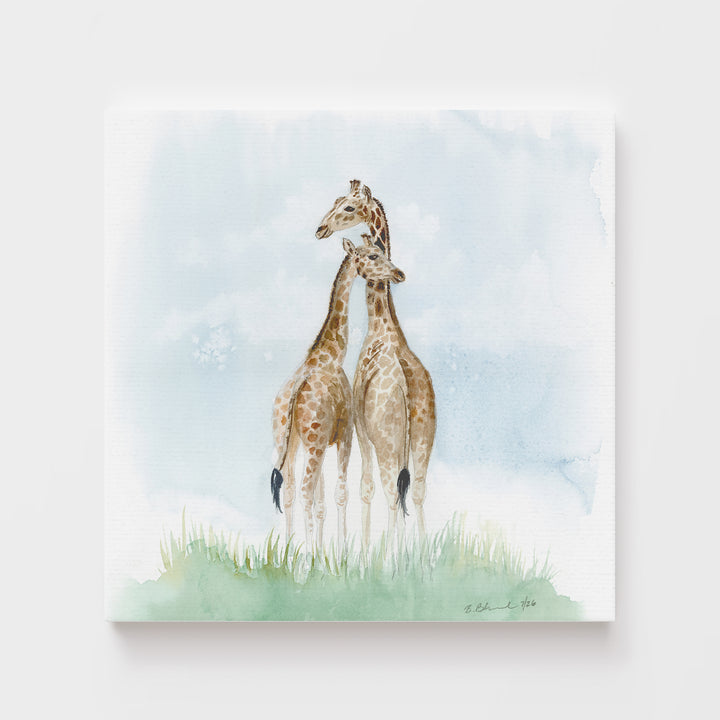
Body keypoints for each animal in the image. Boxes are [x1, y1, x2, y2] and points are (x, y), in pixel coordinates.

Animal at [270, 237, 407, 556]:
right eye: (373, 255)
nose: (399, 274)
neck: (331, 354)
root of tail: (292, 394)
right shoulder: (342, 434)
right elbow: (339, 493)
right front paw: (340, 555)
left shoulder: (320, 441)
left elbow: (321, 503)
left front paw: (323, 555)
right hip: (313, 443)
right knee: (305, 491)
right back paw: (305, 558)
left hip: (287, 443)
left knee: (290, 491)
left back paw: (288, 554)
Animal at [316, 181, 437, 552]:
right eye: (336, 200)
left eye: (349, 207)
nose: (320, 229)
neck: (383, 329)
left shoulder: (361, 426)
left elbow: (365, 488)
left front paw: (368, 553)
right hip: (423, 440)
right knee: (417, 492)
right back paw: (420, 556)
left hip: (388, 441)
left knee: (390, 493)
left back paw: (389, 557)